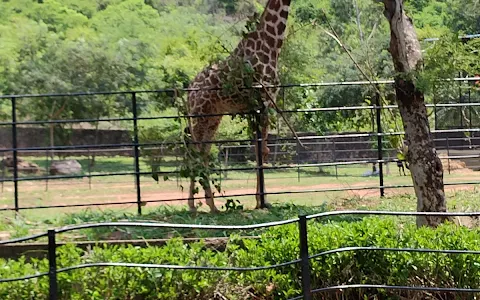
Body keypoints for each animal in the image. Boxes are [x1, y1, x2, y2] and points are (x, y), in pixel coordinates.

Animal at [186, 0, 290, 212]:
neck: (272, 45)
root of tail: (189, 91)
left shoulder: (262, 105)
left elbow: (261, 151)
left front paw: (261, 200)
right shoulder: (262, 101)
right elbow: (261, 152)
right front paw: (261, 201)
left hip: (213, 117)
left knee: (204, 152)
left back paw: (211, 205)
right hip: (199, 115)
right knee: (196, 152)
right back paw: (193, 206)